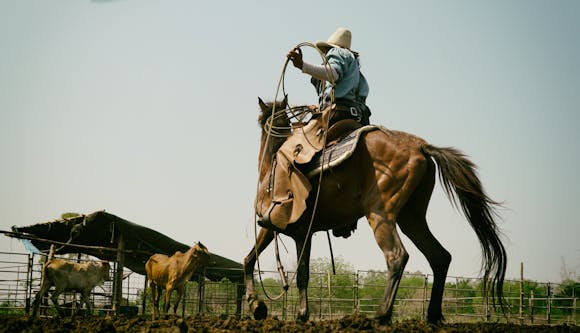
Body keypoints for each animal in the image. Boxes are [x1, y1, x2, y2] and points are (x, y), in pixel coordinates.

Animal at [242, 97, 506, 322]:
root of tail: (421, 147)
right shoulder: (296, 232)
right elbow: (265, 263)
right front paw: (275, 309)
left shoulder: (286, 229)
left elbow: (282, 269)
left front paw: (266, 307)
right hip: (412, 219)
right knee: (440, 257)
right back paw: (432, 316)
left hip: (380, 214)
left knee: (397, 256)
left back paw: (381, 315)